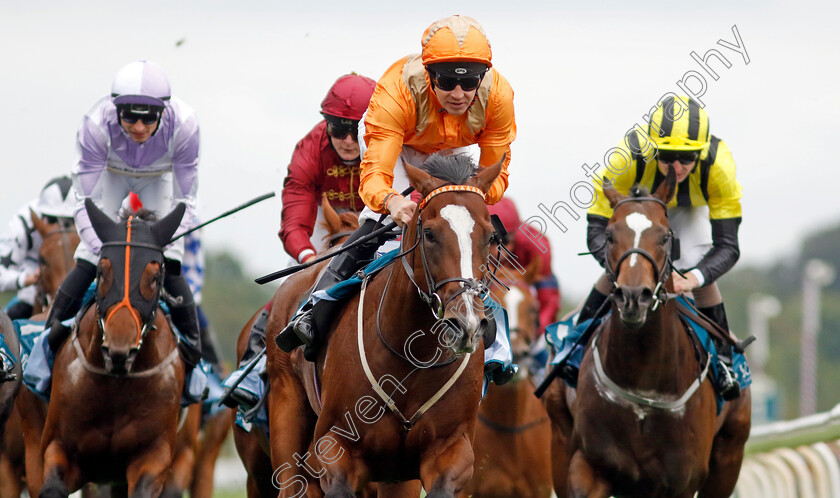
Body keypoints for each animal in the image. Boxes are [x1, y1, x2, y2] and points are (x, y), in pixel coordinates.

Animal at [38, 199, 192, 498]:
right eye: (101, 271)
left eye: (155, 276)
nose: (119, 352)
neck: (115, 386)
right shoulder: (58, 447)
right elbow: (52, 485)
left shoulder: (154, 456)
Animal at [264, 155, 498, 494]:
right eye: (429, 233)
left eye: (490, 236)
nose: (465, 322)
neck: (413, 358)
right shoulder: (336, 448)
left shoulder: (451, 452)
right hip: (286, 405)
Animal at [548, 168, 752, 498]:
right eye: (609, 236)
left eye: (666, 237)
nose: (633, 297)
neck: (643, 381)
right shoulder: (588, 465)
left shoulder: (682, 481)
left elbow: (726, 243)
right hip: (559, 438)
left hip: (729, 454)